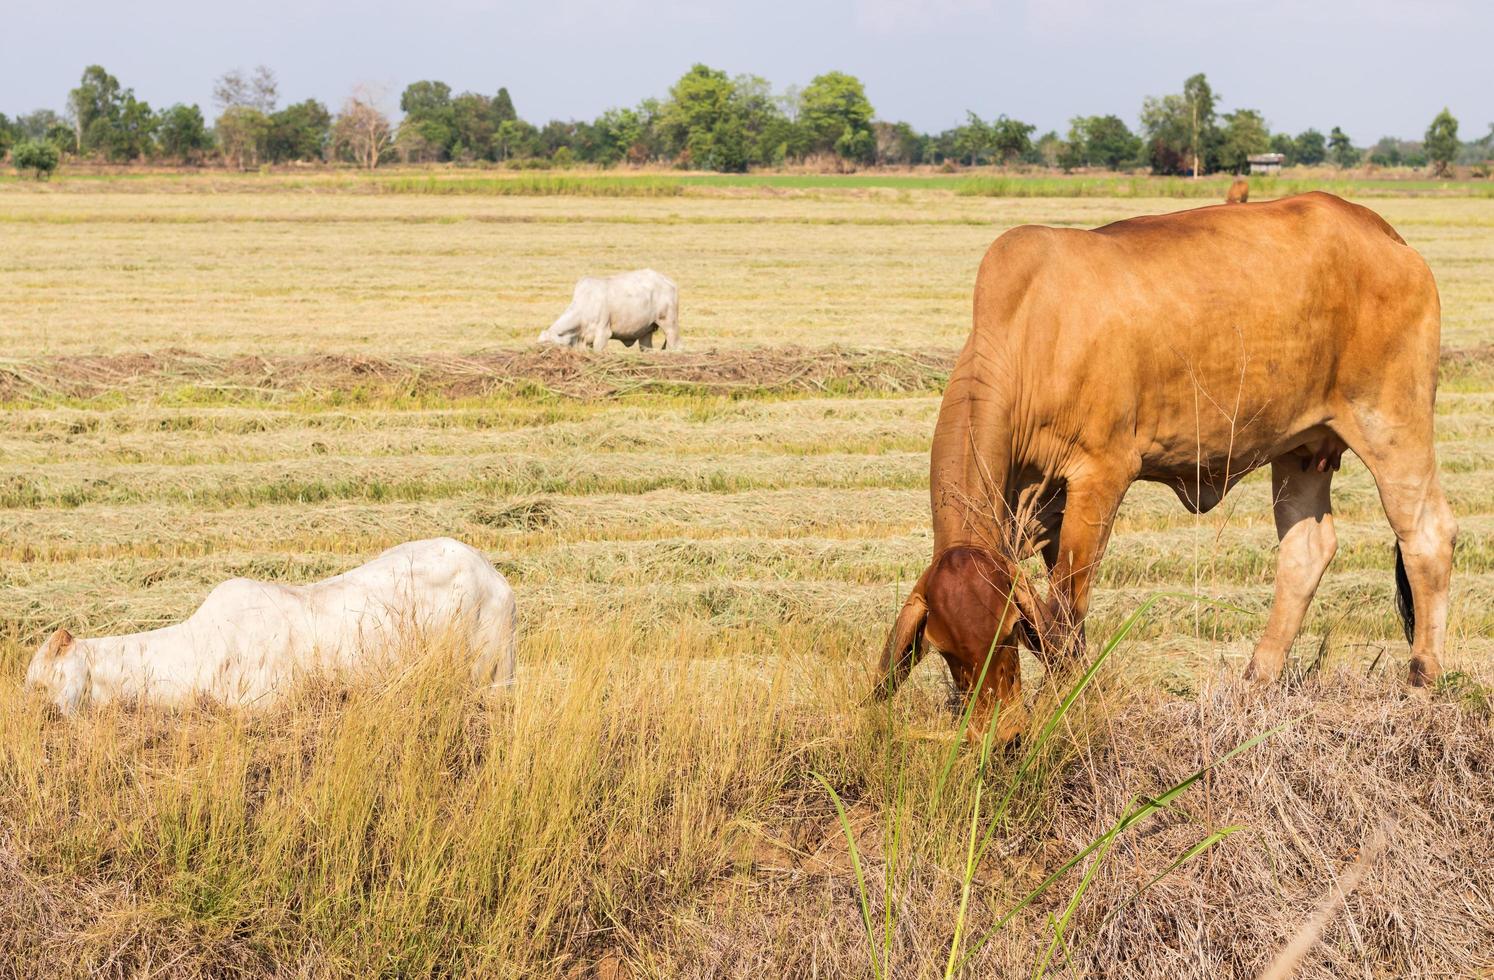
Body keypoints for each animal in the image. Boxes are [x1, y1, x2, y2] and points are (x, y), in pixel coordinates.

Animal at [872, 191, 1458, 743]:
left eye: (1010, 631)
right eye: (943, 649)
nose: (1007, 736)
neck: (1030, 337)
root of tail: (1382, 233)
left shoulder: (1100, 476)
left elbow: (1065, 611)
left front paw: (1065, 702)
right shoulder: (1043, 505)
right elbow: (1063, 615)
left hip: (1392, 422)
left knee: (1427, 536)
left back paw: (1421, 682)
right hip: (1300, 449)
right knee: (1306, 551)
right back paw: (1256, 682)